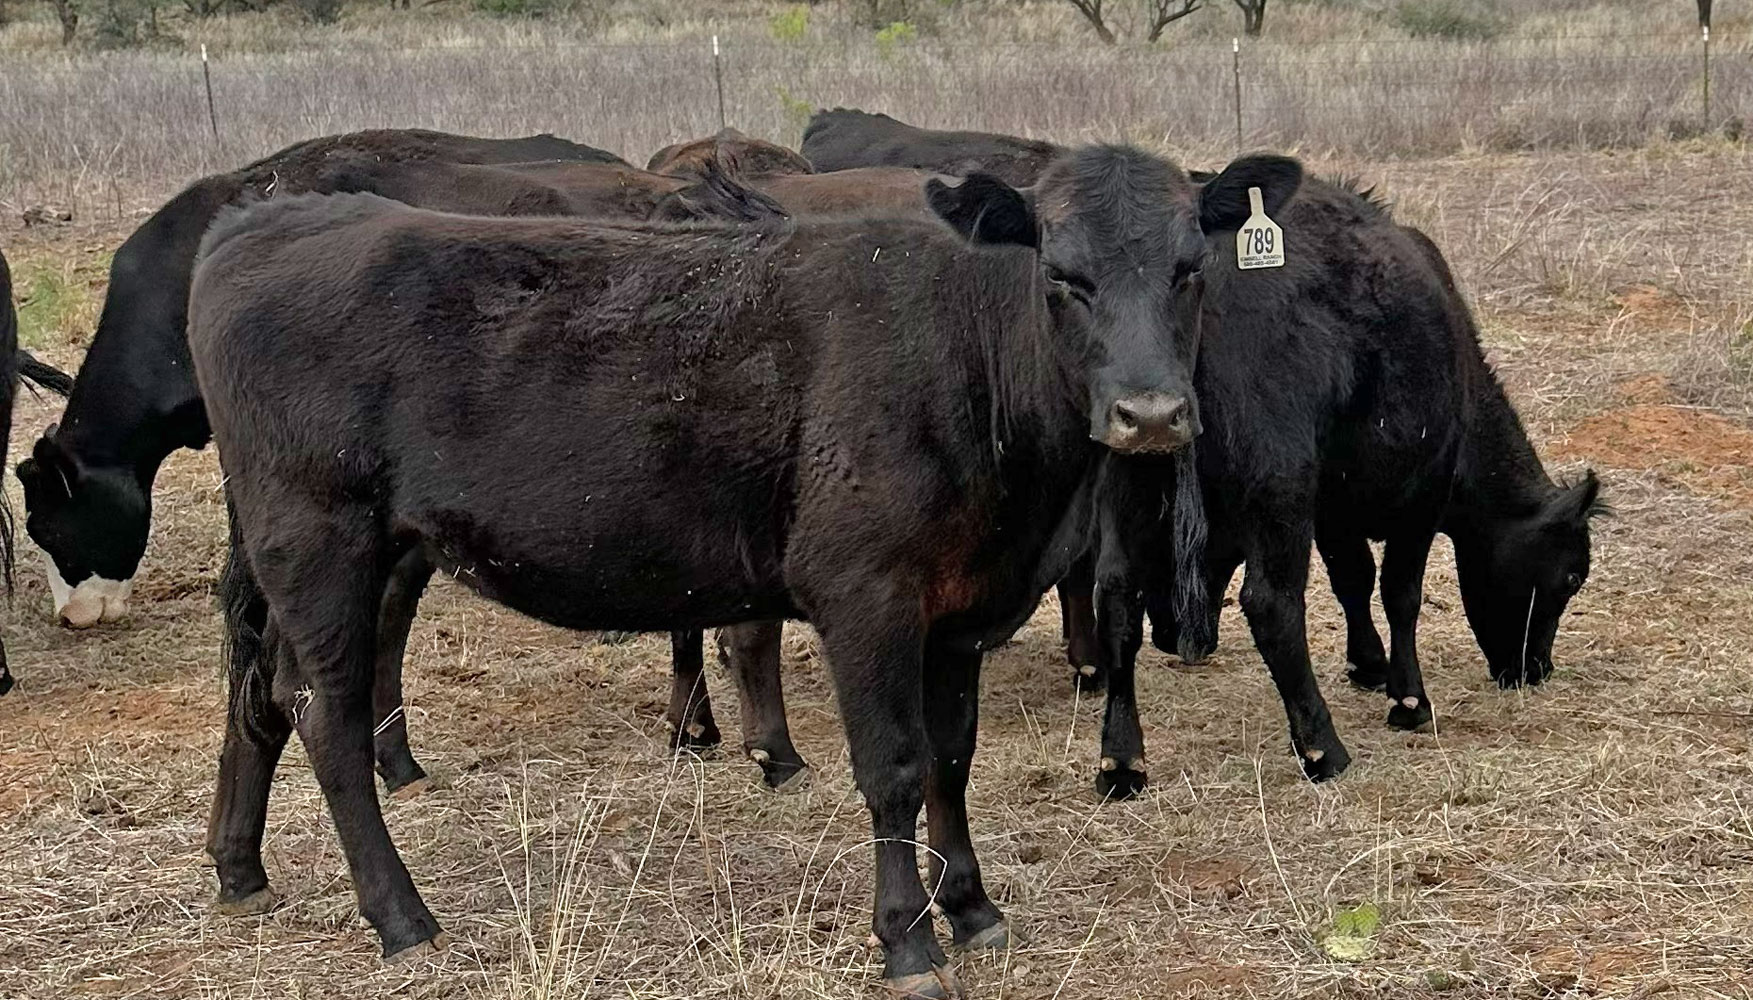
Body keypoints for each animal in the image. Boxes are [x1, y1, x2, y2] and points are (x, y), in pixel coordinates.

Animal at [190, 147, 1299, 996]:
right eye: (1062, 273)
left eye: (1190, 266)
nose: (1151, 415)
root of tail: (266, 221)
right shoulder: (866, 595)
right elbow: (893, 768)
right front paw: (907, 939)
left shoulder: (958, 607)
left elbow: (951, 759)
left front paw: (974, 905)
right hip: (323, 542)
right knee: (326, 716)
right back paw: (401, 916)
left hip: (298, 554)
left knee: (260, 693)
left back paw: (239, 867)